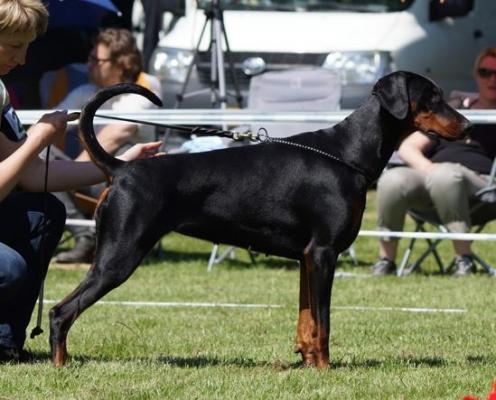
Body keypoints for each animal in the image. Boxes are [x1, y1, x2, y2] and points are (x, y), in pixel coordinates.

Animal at [50, 71, 472, 368]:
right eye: (431, 97)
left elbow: (306, 319)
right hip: (117, 257)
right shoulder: (324, 253)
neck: (348, 153)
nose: (468, 126)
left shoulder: (307, 258)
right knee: (60, 312)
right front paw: (325, 368)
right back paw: (61, 365)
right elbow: (323, 322)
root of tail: (121, 169)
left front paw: (306, 363)